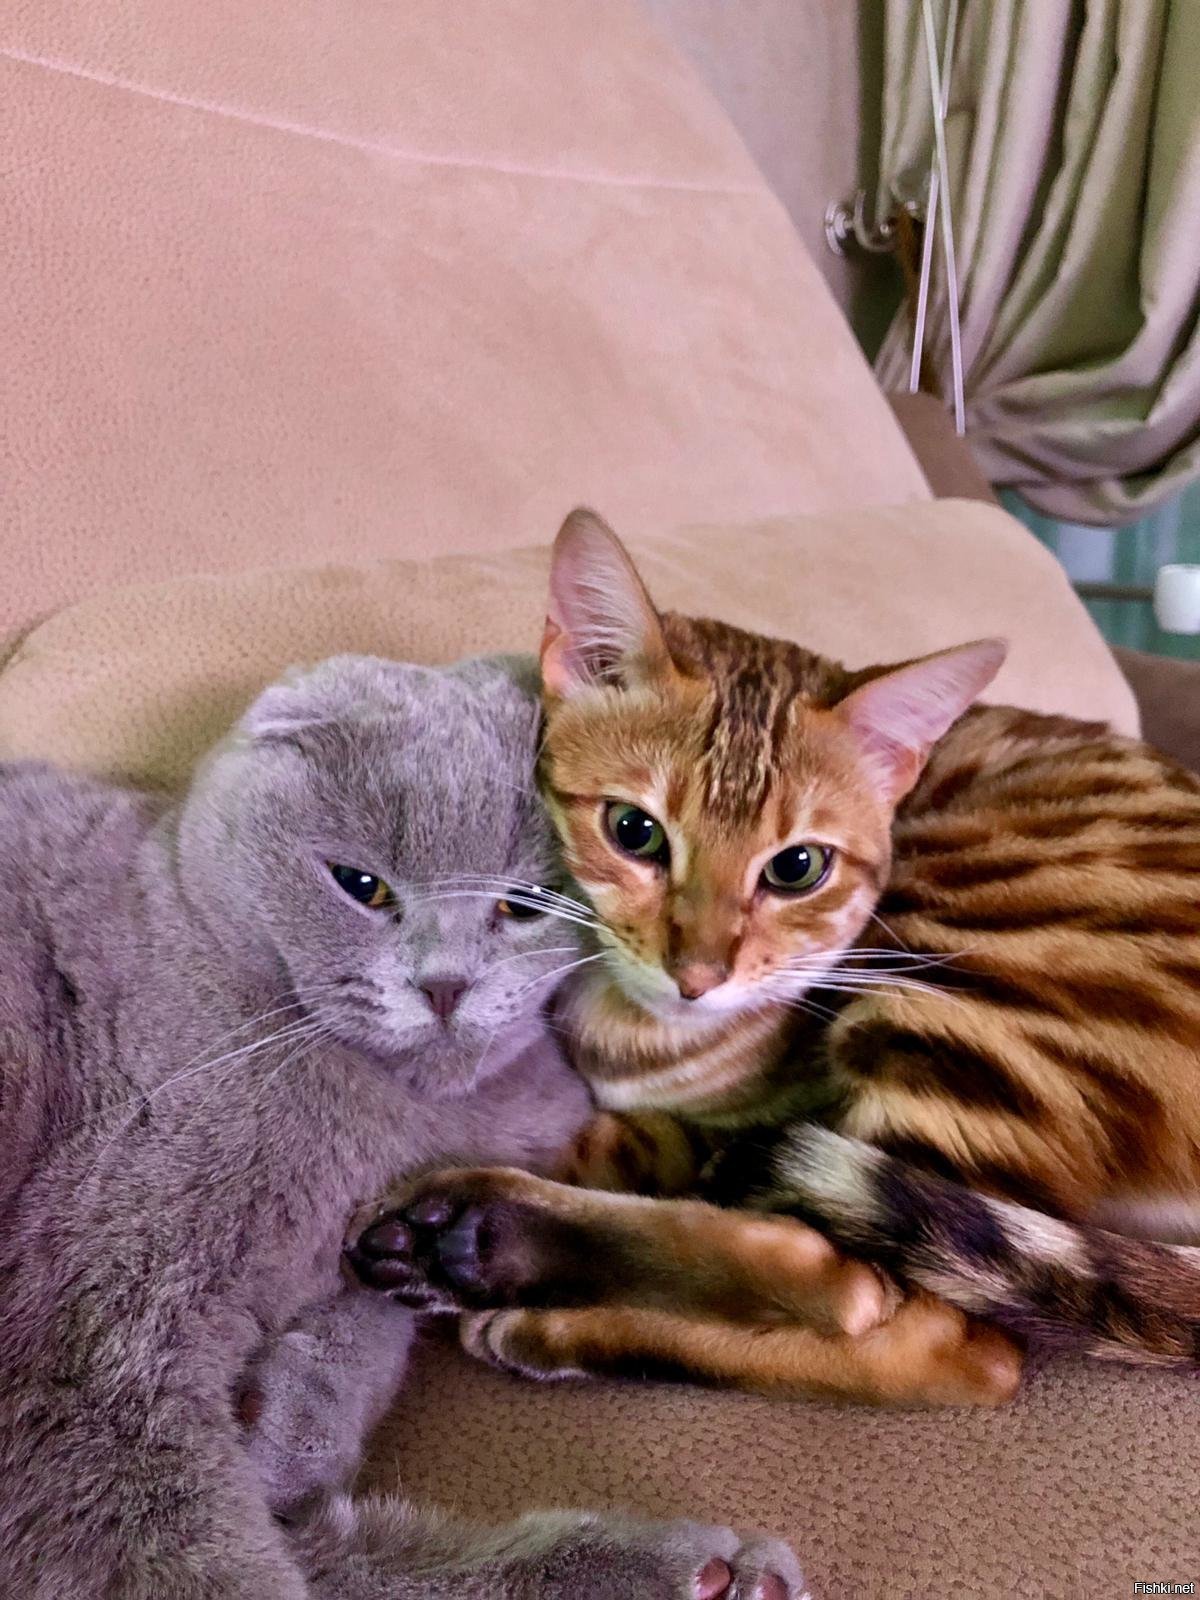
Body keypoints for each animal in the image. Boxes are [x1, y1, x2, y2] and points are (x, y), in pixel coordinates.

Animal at [0, 649, 803, 1600]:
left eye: (524, 904)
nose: (446, 984)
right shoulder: (93, 1325)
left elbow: (373, 1310)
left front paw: (294, 1428)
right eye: (361, 886)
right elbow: (176, 1539)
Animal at [346, 509, 1200, 1401]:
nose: (697, 977)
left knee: (917, 1321)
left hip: (961, 989)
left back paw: (501, 1254)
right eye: (633, 830)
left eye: (797, 868)